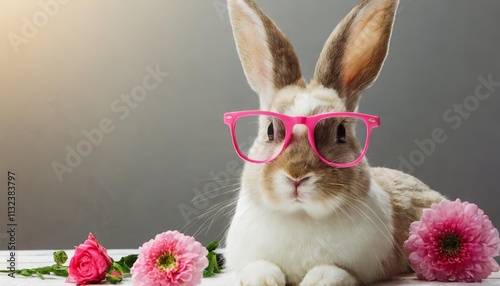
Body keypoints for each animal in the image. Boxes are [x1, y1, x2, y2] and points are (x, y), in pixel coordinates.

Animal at [225, 0, 448, 286]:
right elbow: (256, 265)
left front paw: (317, 279)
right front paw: (264, 279)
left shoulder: (363, 268)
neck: (302, 215)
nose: (296, 177)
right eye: (271, 130)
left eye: (340, 133)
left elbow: (337, 272)